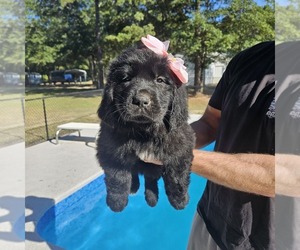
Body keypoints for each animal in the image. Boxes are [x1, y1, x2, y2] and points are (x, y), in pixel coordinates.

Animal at [96, 37, 195, 213]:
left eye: (160, 80)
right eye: (126, 79)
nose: (141, 100)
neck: (144, 131)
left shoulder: (182, 145)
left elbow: (177, 175)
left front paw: (179, 200)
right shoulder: (110, 148)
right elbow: (118, 178)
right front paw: (117, 203)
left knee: (150, 178)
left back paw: (152, 199)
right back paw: (135, 188)